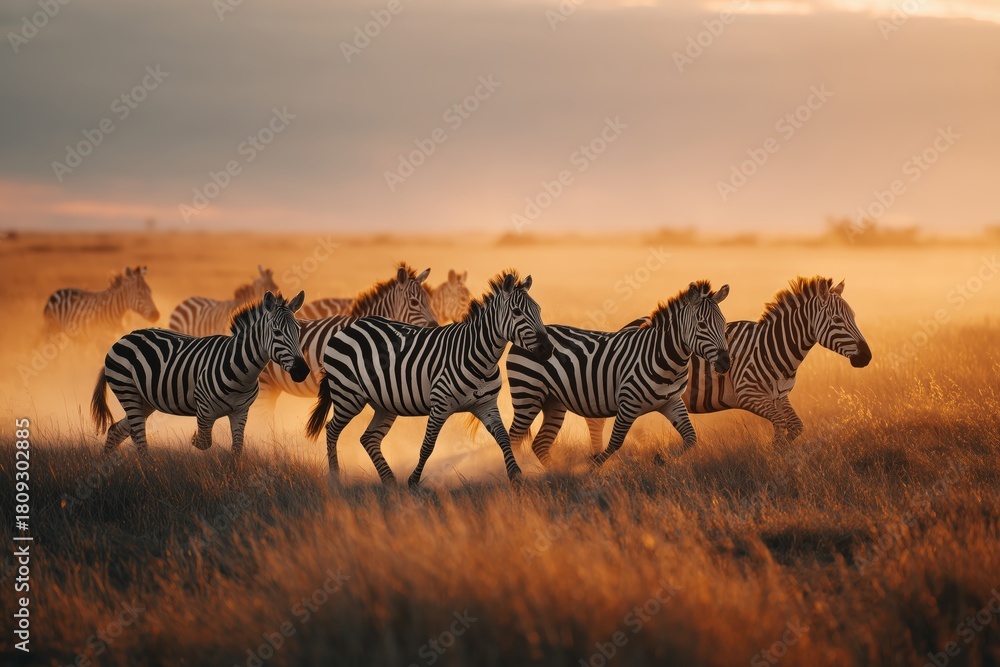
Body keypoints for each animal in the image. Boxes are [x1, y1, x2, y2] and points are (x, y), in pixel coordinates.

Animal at [91, 291, 309, 459]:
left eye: (298, 331)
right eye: (277, 332)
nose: (302, 371)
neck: (242, 371)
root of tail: (125, 337)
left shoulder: (241, 411)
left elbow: (237, 449)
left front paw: (233, 478)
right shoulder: (204, 410)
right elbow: (204, 443)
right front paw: (196, 446)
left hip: (145, 400)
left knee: (117, 430)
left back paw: (104, 466)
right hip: (127, 390)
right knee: (139, 438)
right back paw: (146, 472)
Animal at [306, 271, 553, 486]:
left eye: (539, 310)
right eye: (517, 312)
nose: (548, 349)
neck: (480, 357)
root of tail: (352, 325)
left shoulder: (487, 405)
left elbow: (503, 437)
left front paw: (516, 475)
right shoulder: (440, 405)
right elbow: (427, 445)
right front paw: (414, 482)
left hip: (384, 403)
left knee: (369, 438)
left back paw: (390, 482)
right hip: (348, 395)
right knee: (332, 430)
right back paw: (336, 478)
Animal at [506, 281, 731, 467]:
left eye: (724, 323)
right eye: (702, 325)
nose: (725, 363)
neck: (664, 358)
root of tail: (522, 340)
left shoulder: (672, 402)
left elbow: (691, 438)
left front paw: (660, 459)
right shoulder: (628, 403)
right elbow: (615, 442)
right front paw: (591, 471)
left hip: (553, 400)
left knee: (540, 444)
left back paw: (559, 473)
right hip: (527, 393)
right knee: (514, 437)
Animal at [584, 276, 871, 447]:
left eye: (855, 317)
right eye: (837, 321)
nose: (867, 357)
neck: (773, 348)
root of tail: (628, 325)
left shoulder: (780, 396)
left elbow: (796, 427)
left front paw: (786, 454)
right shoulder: (749, 394)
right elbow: (780, 425)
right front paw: (776, 458)